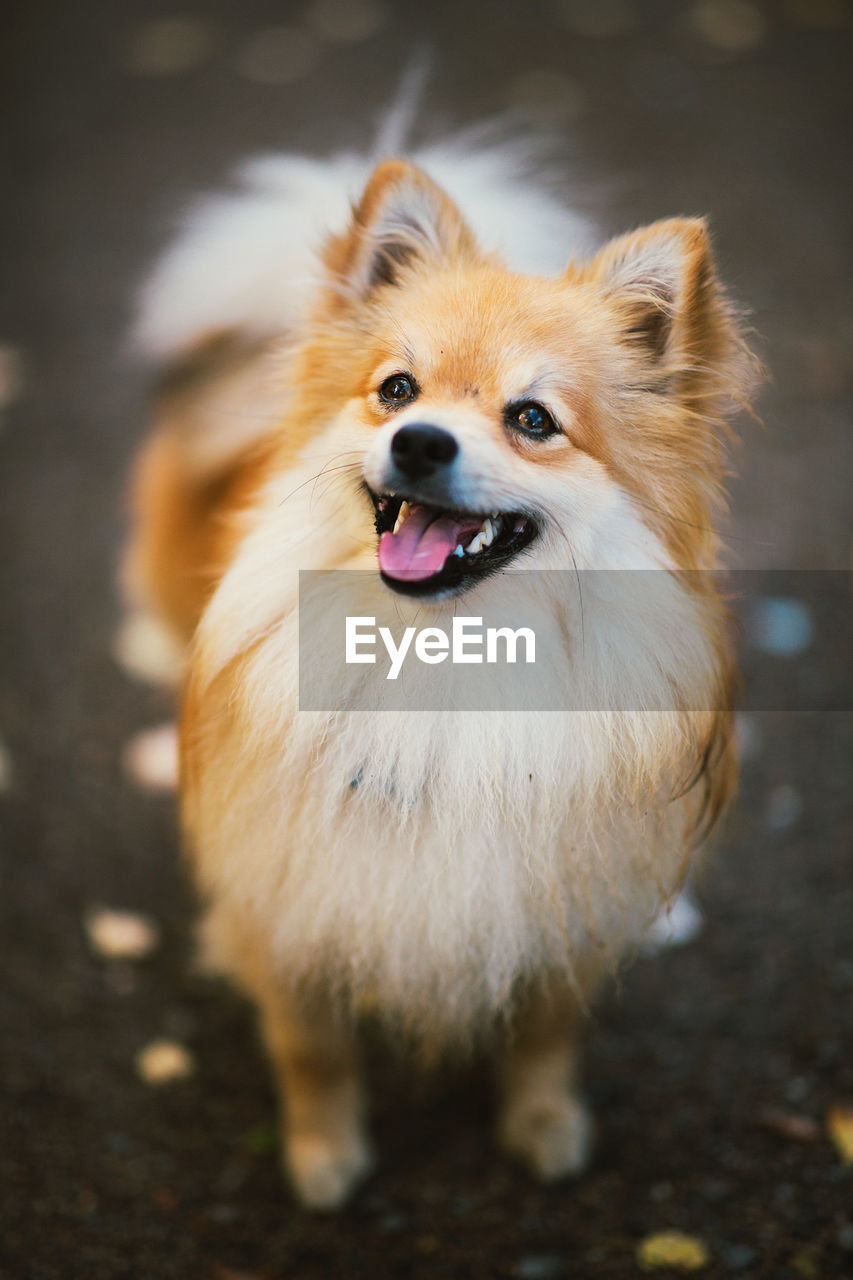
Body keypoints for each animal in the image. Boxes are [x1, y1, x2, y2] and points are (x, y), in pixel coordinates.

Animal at [119, 124, 753, 1203]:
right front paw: (323, 1155)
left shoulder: (554, 905)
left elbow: (543, 1035)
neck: (445, 656)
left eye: (533, 419)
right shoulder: (291, 892)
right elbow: (312, 1049)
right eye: (396, 391)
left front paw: (542, 1124)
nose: (417, 442)